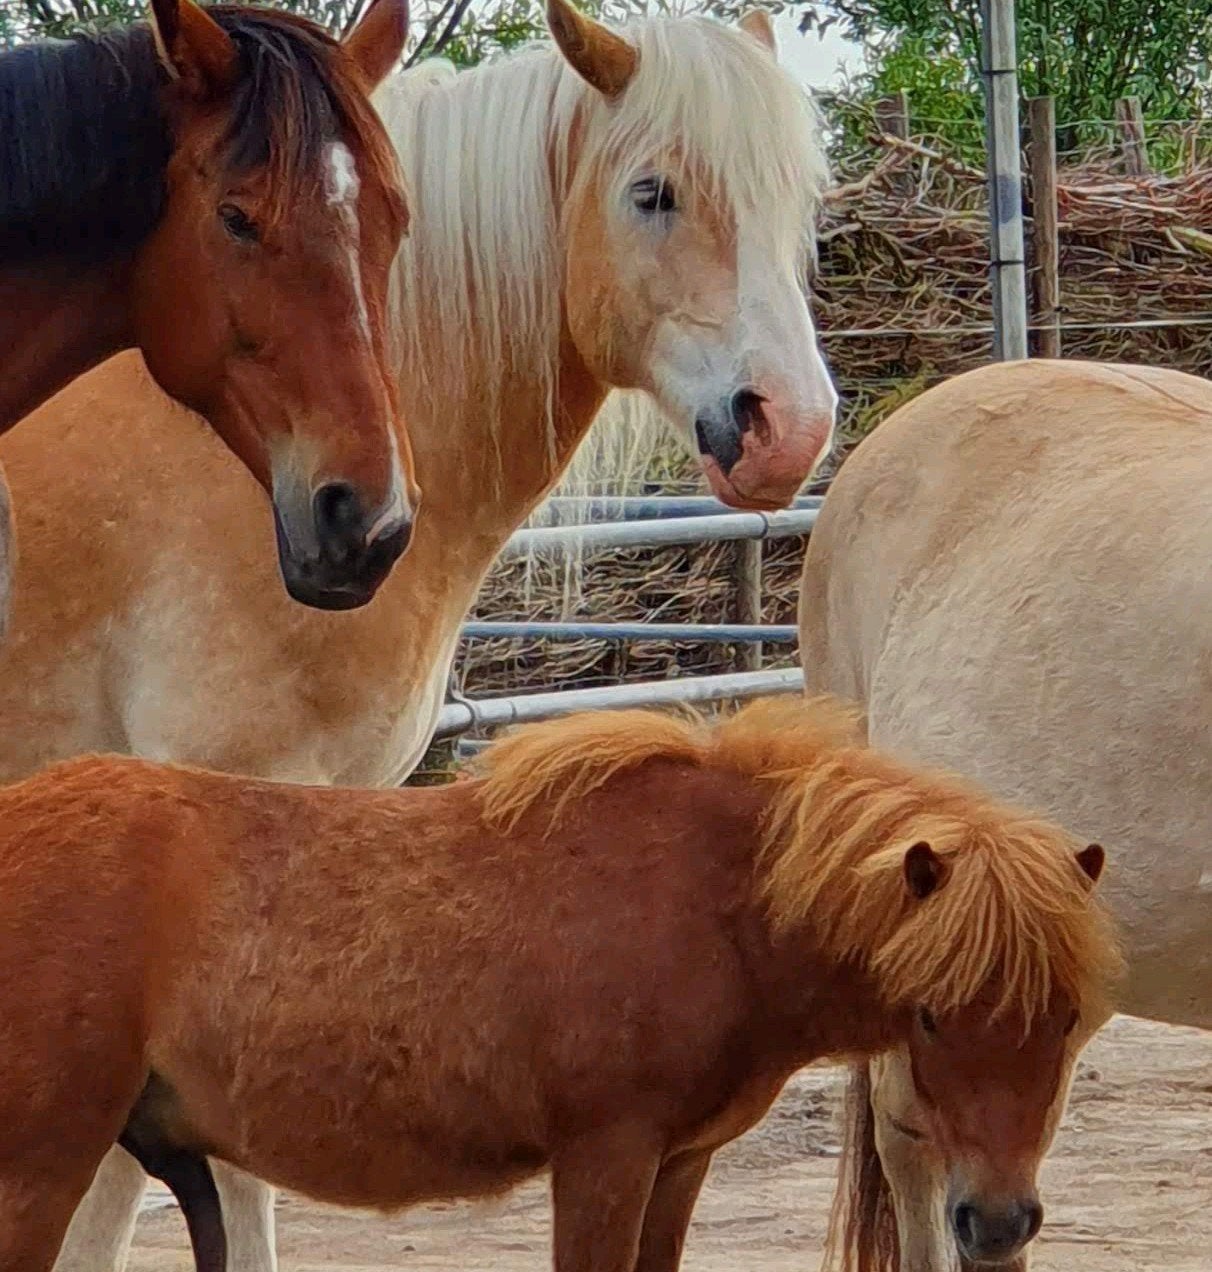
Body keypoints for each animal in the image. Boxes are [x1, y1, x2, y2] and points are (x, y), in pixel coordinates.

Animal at [0, 696, 1117, 1272]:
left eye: (1067, 1022)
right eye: (928, 1015)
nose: (997, 1223)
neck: (718, 898)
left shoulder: (677, 1166)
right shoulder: (605, 1160)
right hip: (42, 1168)